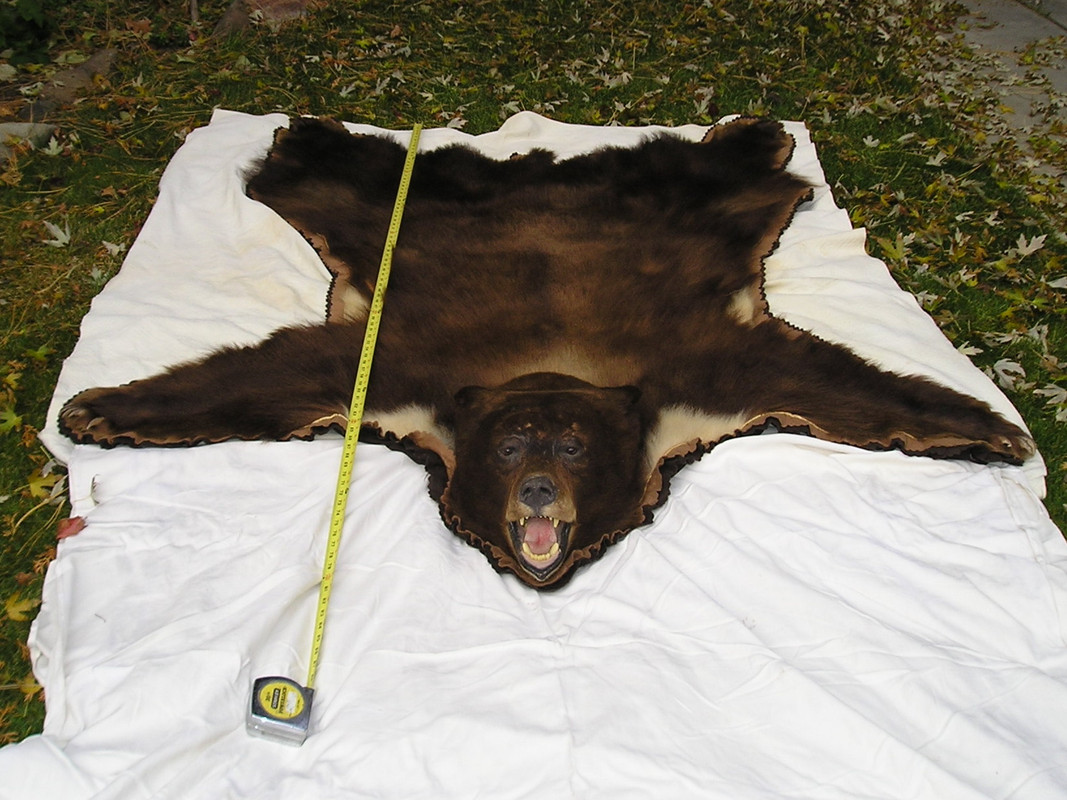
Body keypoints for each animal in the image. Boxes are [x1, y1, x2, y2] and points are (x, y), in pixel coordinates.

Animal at [58, 115, 1033, 589]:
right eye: (507, 447)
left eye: (569, 446)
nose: (535, 491)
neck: (550, 367)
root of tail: (546, 174)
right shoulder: (396, 370)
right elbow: (284, 373)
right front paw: (104, 407)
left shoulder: (706, 373)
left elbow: (829, 383)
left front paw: (981, 424)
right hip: (398, 219)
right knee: (345, 183)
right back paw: (303, 140)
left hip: (695, 215)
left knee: (727, 179)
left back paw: (755, 136)